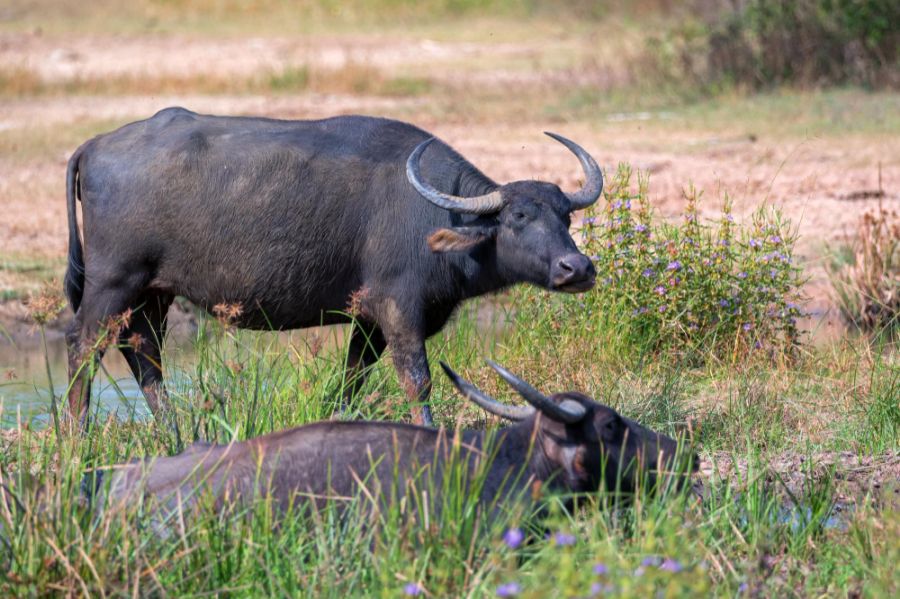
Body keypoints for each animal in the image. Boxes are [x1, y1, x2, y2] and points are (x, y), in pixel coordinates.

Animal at [65, 109, 604, 426]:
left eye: (565, 215)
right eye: (517, 218)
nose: (577, 267)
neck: (437, 217)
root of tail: (92, 146)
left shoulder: (368, 322)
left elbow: (351, 381)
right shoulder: (398, 308)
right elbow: (418, 380)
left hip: (153, 292)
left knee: (144, 354)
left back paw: (173, 434)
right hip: (113, 282)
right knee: (82, 349)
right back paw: (76, 435)